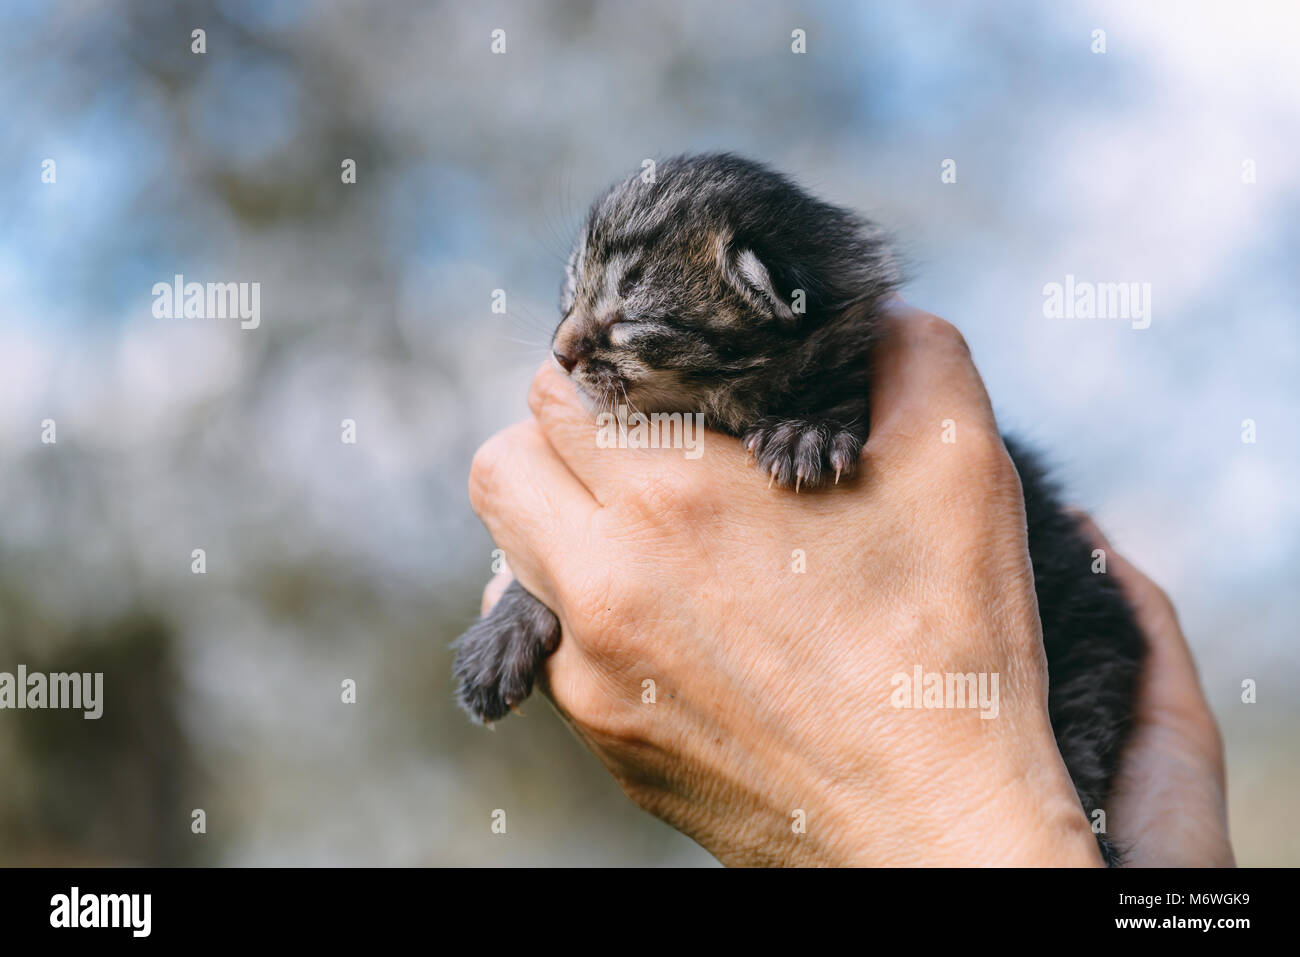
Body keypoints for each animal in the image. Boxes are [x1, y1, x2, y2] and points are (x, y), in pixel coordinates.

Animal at [452, 151, 1144, 868]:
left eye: (629, 316)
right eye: (571, 293)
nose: (559, 353)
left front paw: (808, 428)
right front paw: (506, 625)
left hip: (1092, 635)